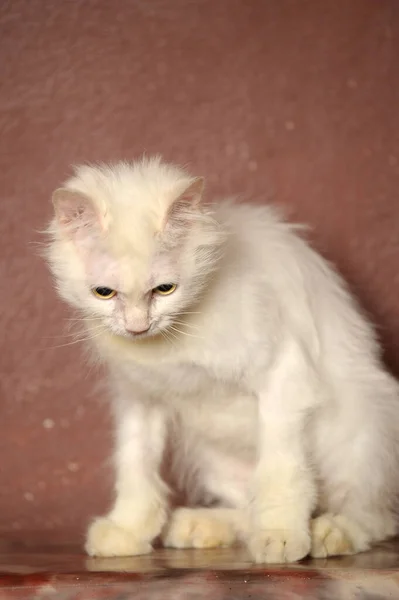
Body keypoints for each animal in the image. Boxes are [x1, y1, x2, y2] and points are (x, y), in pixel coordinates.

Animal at [44, 155, 399, 564]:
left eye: (165, 289)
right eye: (104, 293)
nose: (137, 326)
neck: (168, 346)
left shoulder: (284, 375)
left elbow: (281, 470)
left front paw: (281, 538)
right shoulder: (138, 398)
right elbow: (134, 465)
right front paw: (127, 531)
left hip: (362, 432)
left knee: (372, 515)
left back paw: (328, 533)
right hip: (211, 455)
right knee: (247, 506)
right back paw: (199, 526)